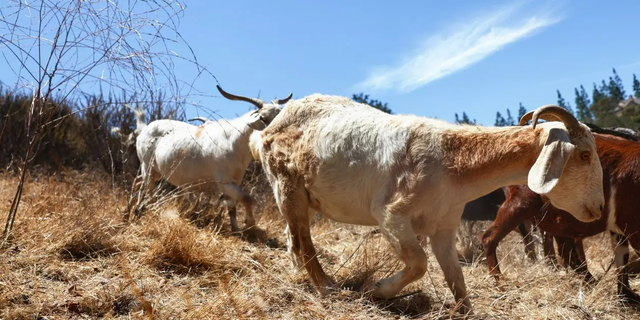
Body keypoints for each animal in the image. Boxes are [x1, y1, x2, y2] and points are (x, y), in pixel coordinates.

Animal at [122, 85, 290, 230]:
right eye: (263, 118)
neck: (233, 141)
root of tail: (145, 129)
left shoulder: (235, 181)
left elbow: (232, 206)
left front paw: (236, 229)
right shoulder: (224, 182)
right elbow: (247, 198)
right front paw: (250, 224)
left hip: (155, 172)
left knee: (138, 183)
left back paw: (129, 210)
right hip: (147, 167)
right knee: (145, 189)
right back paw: (138, 210)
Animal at [250, 95, 604, 316]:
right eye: (585, 155)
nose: (599, 208)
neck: (450, 163)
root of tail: (270, 126)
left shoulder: (443, 226)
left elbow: (456, 279)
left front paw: (464, 311)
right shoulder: (392, 215)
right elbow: (419, 263)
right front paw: (378, 289)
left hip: (304, 198)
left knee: (293, 238)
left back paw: (302, 276)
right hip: (287, 185)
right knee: (302, 241)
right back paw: (327, 288)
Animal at [482, 132, 636, 302]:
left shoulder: (619, 228)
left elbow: (621, 261)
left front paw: (627, 296)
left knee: (567, 253)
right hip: (524, 202)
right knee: (489, 236)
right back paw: (499, 282)